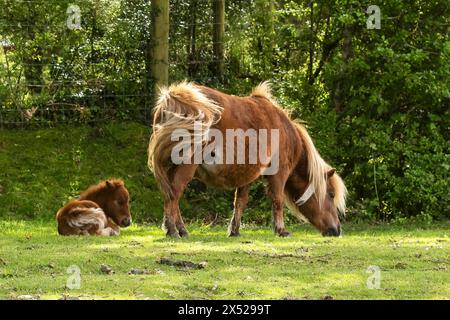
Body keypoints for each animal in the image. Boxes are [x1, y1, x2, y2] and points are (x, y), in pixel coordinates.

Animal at [149, 82, 346, 238]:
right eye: (331, 194)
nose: (337, 230)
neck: (286, 131)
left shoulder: (246, 176)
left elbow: (240, 202)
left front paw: (234, 230)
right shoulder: (279, 174)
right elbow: (278, 200)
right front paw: (281, 230)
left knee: (171, 194)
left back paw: (180, 229)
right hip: (185, 167)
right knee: (174, 194)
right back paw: (174, 230)